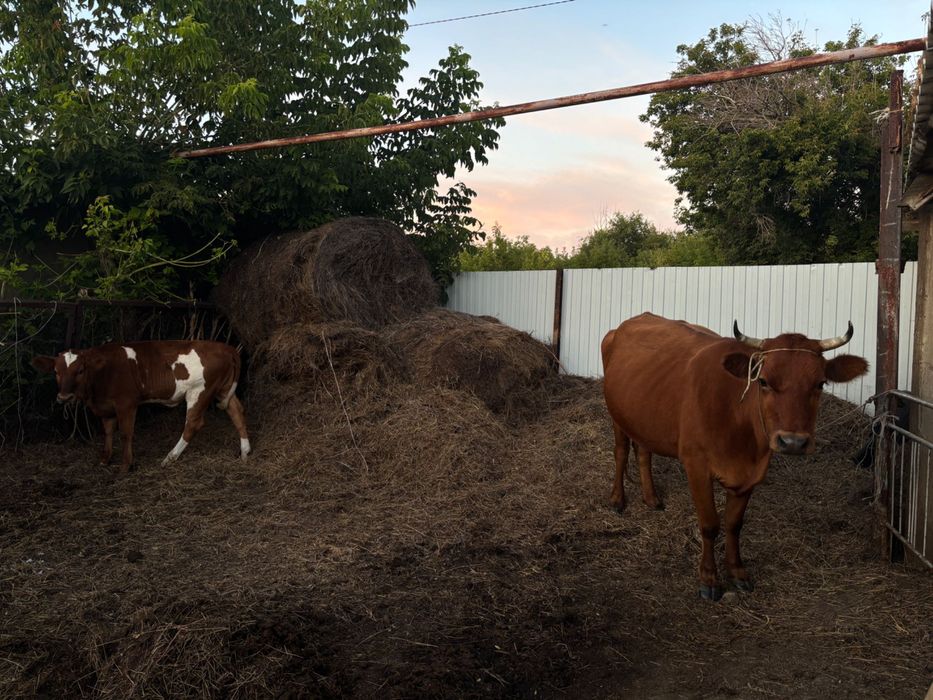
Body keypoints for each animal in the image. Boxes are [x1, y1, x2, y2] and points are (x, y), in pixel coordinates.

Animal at [32, 340, 250, 474]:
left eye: (80, 370)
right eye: (56, 371)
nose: (64, 396)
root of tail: (226, 348)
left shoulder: (126, 403)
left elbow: (126, 433)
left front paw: (125, 465)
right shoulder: (106, 407)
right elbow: (108, 431)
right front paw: (105, 458)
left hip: (199, 392)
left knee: (193, 424)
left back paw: (170, 458)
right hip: (224, 389)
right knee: (236, 411)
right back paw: (245, 451)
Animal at [601, 312, 868, 601]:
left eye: (820, 384)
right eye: (763, 381)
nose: (793, 442)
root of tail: (634, 320)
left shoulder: (751, 474)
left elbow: (733, 524)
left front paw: (737, 572)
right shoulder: (696, 466)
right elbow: (710, 525)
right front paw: (708, 579)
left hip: (643, 417)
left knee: (644, 450)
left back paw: (651, 498)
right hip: (616, 413)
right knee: (621, 451)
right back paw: (617, 499)